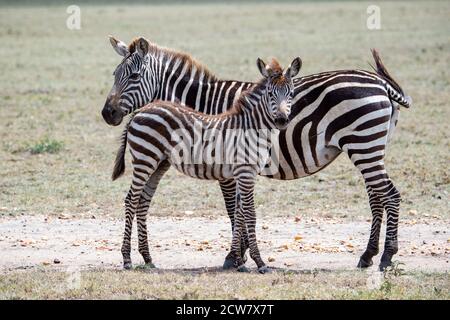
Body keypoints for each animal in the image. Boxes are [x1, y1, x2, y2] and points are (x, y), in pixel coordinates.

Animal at [103, 36, 412, 272]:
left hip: (364, 144)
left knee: (389, 195)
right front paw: (241, 256)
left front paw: (235, 257)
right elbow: (239, 209)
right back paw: (368, 255)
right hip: (369, 147)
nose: (107, 114)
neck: (202, 104)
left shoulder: (227, 169)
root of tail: (380, 83)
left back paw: (385, 256)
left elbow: (233, 210)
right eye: (114, 75)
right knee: (377, 197)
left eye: (133, 76)